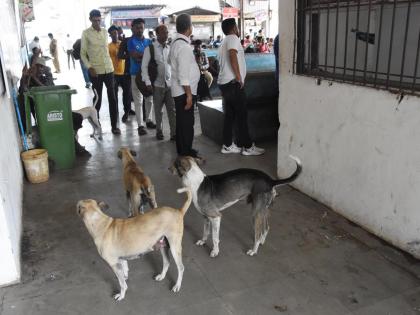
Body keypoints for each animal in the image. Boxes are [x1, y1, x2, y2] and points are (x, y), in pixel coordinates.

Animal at [168, 157, 302, 258]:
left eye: (174, 163)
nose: (168, 168)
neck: (195, 182)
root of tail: (270, 180)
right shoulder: (206, 217)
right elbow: (206, 231)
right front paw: (203, 241)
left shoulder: (216, 217)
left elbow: (215, 237)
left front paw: (215, 251)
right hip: (263, 210)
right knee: (266, 227)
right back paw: (262, 242)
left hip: (256, 213)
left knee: (258, 232)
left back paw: (254, 250)